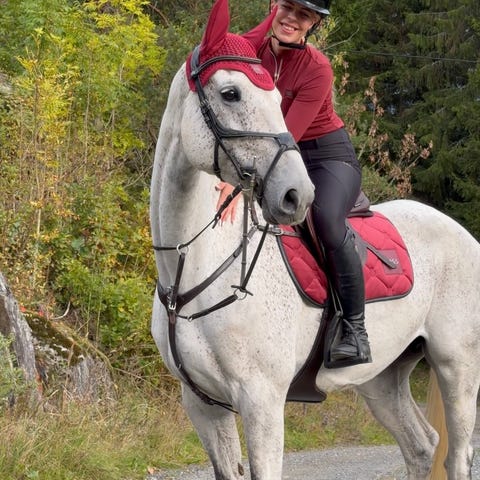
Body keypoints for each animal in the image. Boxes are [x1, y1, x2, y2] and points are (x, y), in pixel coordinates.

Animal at [150, 0, 480, 478]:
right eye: (231, 94)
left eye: (278, 99)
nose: (297, 195)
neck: (192, 273)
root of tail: (461, 233)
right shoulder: (203, 407)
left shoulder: (262, 403)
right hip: (382, 378)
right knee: (421, 447)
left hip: (458, 367)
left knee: (455, 455)